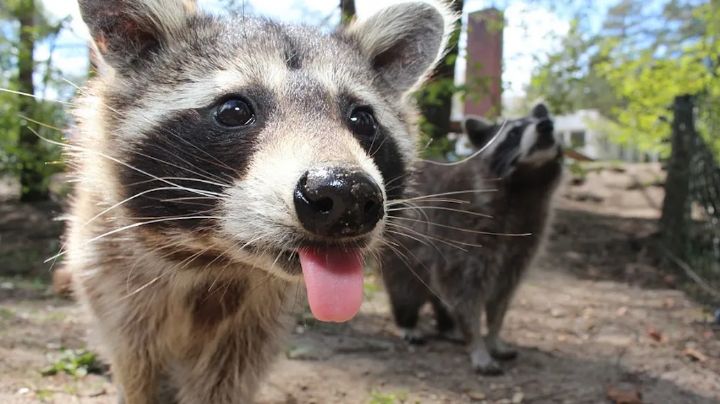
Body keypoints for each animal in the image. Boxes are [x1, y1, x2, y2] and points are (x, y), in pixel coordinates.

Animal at [63, 1, 456, 402]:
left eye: (362, 119)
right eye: (234, 110)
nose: (346, 194)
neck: (217, 261)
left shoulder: (254, 326)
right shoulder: (113, 282)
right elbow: (137, 368)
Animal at [380, 104, 564, 376]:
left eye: (548, 121)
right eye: (513, 133)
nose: (546, 126)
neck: (527, 183)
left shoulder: (524, 241)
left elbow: (502, 296)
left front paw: (494, 336)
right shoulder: (462, 230)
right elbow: (465, 294)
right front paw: (477, 342)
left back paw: (447, 326)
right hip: (403, 249)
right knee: (405, 287)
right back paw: (408, 322)